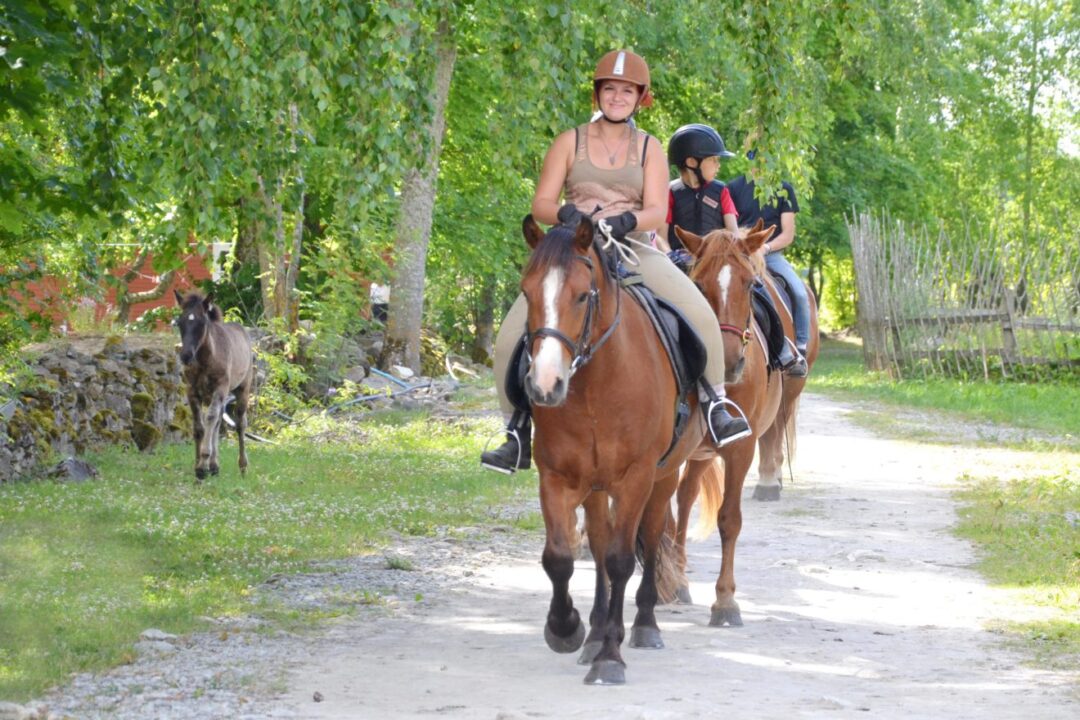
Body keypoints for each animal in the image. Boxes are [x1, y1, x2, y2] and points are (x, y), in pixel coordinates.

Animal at [173, 289, 255, 481]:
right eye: (180, 322)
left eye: (202, 323)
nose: (185, 356)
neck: (206, 359)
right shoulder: (192, 391)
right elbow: (199, 426)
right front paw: (199, 466)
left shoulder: (220, 388)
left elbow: (210, 418)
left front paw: (203, 464)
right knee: (219, 422)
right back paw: (215, 466)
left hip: (242, 389)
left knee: (240, 423)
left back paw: (242, 466)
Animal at [520, 215, 708, 686]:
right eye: (525, 292)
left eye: (581, 294)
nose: (544, 385)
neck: (594, 388)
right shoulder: (557, 477)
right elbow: (560, 558)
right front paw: (567, 628)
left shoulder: (636, 477)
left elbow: (623, 559)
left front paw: (609, 658)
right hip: (596, 486)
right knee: (601, 545)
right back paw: (596, 631)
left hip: (662, 477)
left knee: (650, 535)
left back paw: (642, 626)